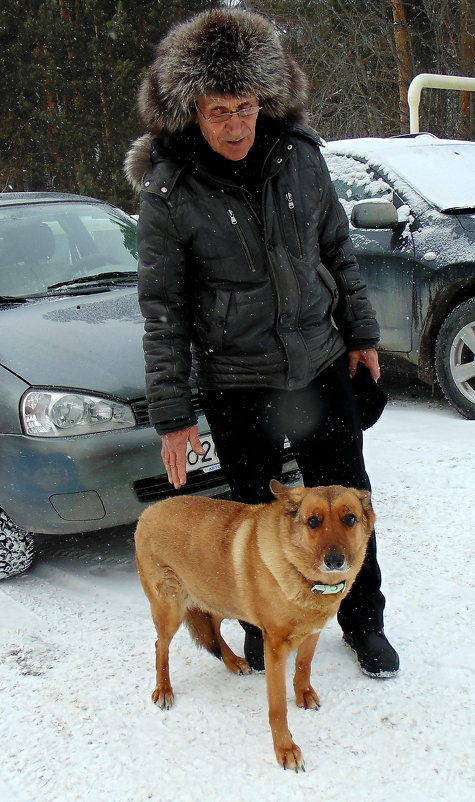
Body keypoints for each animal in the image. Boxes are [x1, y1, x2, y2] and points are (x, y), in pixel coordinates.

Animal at [135, 482, 376, 768]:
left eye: (349, 518)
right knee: (160, 645)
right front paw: (285, 749)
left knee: (212, 625)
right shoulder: (274, 648)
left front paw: (303, 694)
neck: (300, 573)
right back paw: (163, 688)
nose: (335, 561)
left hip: (222, 596)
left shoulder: (312, 634)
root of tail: (148, 511)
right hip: (170, 609)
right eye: (313, 521)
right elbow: (278, 707)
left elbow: (303, 666)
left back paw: (232, 662)